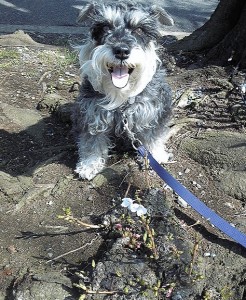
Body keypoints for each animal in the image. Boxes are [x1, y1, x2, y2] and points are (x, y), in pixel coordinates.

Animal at [72, 0, 174, 180]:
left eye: (140, 29)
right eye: (105, 27)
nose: (121, 50)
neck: (122, 98)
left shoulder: (154, 113)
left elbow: (153, 136)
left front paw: (156, 155)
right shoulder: (92, 116)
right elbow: (91, 142)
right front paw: (89, 165)